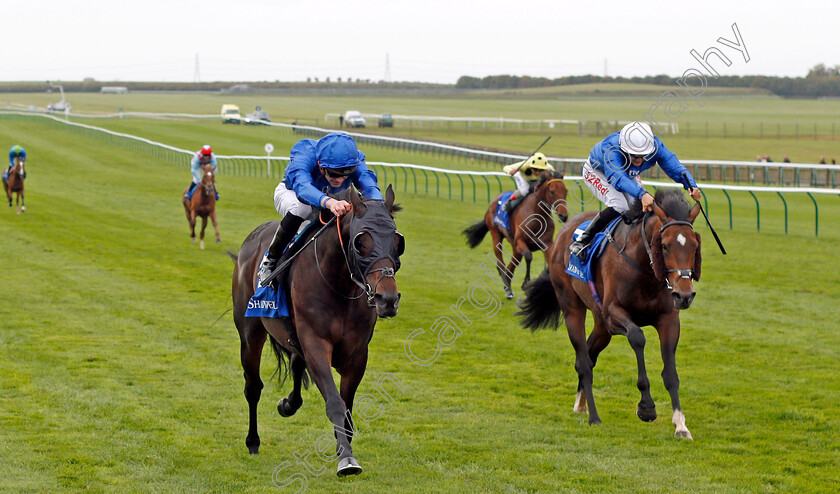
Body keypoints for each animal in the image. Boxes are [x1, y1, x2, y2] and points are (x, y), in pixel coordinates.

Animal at [231, 185, 406, 474]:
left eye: (397, 242)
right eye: (360, 242)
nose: (387, 299)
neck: (339, 286)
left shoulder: (357, 355)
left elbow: (347, 409)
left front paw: (343, 447)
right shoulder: (315, 343)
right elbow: (335, 402)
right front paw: (347, 460)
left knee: (295, 364)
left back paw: (288, 404)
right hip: (250, 331)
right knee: (253, 386)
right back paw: (253, 441)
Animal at [460, 172, 572, 300]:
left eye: (565, 191)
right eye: (552, 191)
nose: (563, 216)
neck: (536, 215)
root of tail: (495, 200)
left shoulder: (546, 244)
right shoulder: (520, 241)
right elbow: (528, 256)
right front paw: (526, 282)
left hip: (515, 247)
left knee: (511, 266)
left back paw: (507, 286)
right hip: (496, 234)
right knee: (501, 263)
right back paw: (508, 289)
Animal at [520, 188, 704, 436]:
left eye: (694, 246)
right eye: (664, 246)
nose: (684, 295)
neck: (643, 266)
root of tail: (564, 234)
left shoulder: (668, 319)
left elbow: (671, 374)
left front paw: (681, 424)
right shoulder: (613, 314)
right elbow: (638, 337)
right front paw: (646, 407)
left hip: (601, 325)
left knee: (589, 354)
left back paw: (581, 405)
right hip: (573, 308)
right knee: (584, 362)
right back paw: (594, 416)